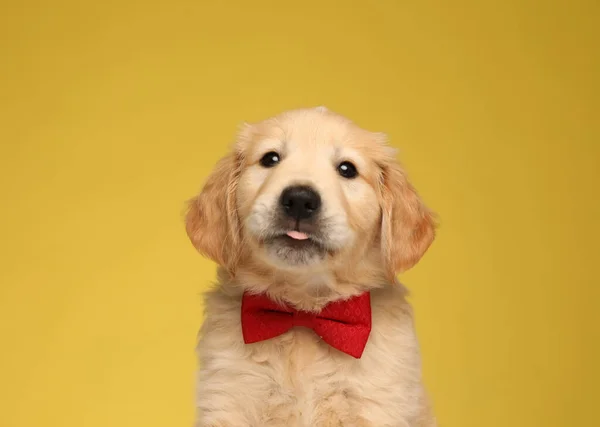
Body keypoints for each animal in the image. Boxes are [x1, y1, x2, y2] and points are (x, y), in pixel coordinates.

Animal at [184, 107, 436, 427]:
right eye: (270, 158)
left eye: (347, 169)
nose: (299, 200)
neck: (304, 311)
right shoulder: (229, 397)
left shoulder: (378, 403)